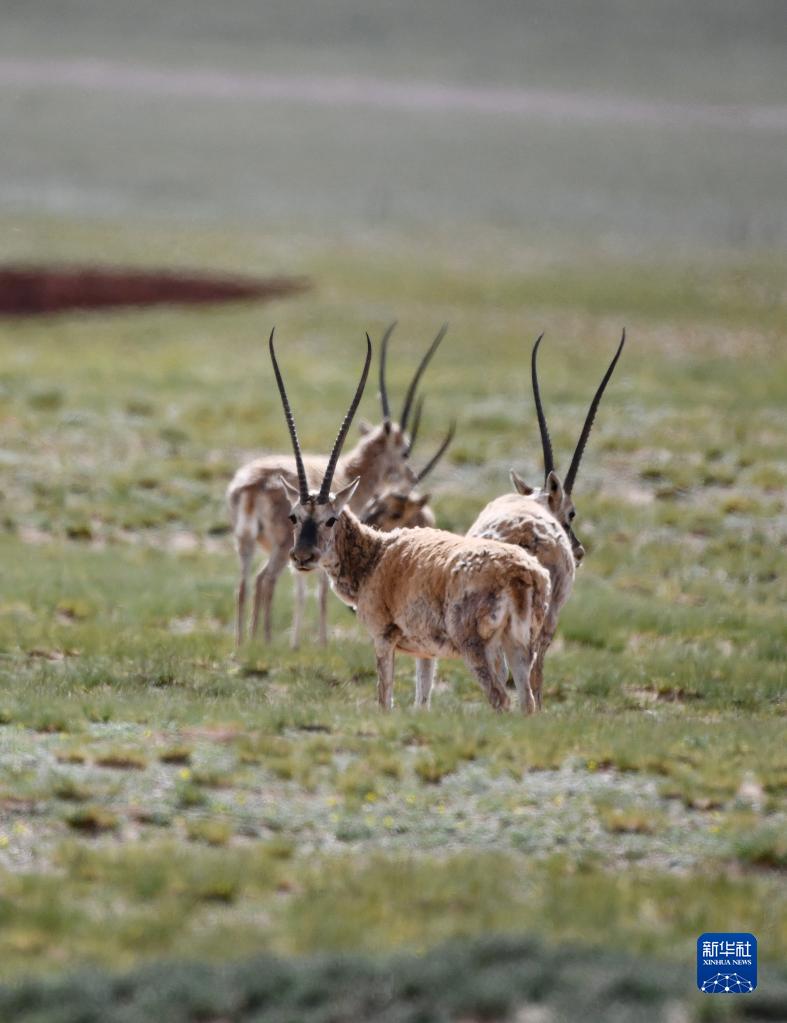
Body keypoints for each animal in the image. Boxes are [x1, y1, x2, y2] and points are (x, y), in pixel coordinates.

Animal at [229, 323, 448, 646]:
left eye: (330, 519)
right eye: (406, 450)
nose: (412, 477)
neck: (350, 470)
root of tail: (251, 485)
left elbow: (304, 590)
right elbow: (319, 592)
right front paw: (319, 642)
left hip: (247, 543)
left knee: (245, 584)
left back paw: (246, 642)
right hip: (279, 548)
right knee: (265, 580)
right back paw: (264, 640)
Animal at [266, 333, 548, 712]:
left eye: (331, 519)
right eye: (294, 515)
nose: (302, 557)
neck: (377, 554)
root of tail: (521, 574)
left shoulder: (383, 638)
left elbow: (384, 699)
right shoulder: (425, 653)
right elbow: (421, 700)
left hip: (477, 647)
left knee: (500, 699)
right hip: (519, 647)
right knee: (528, 703)